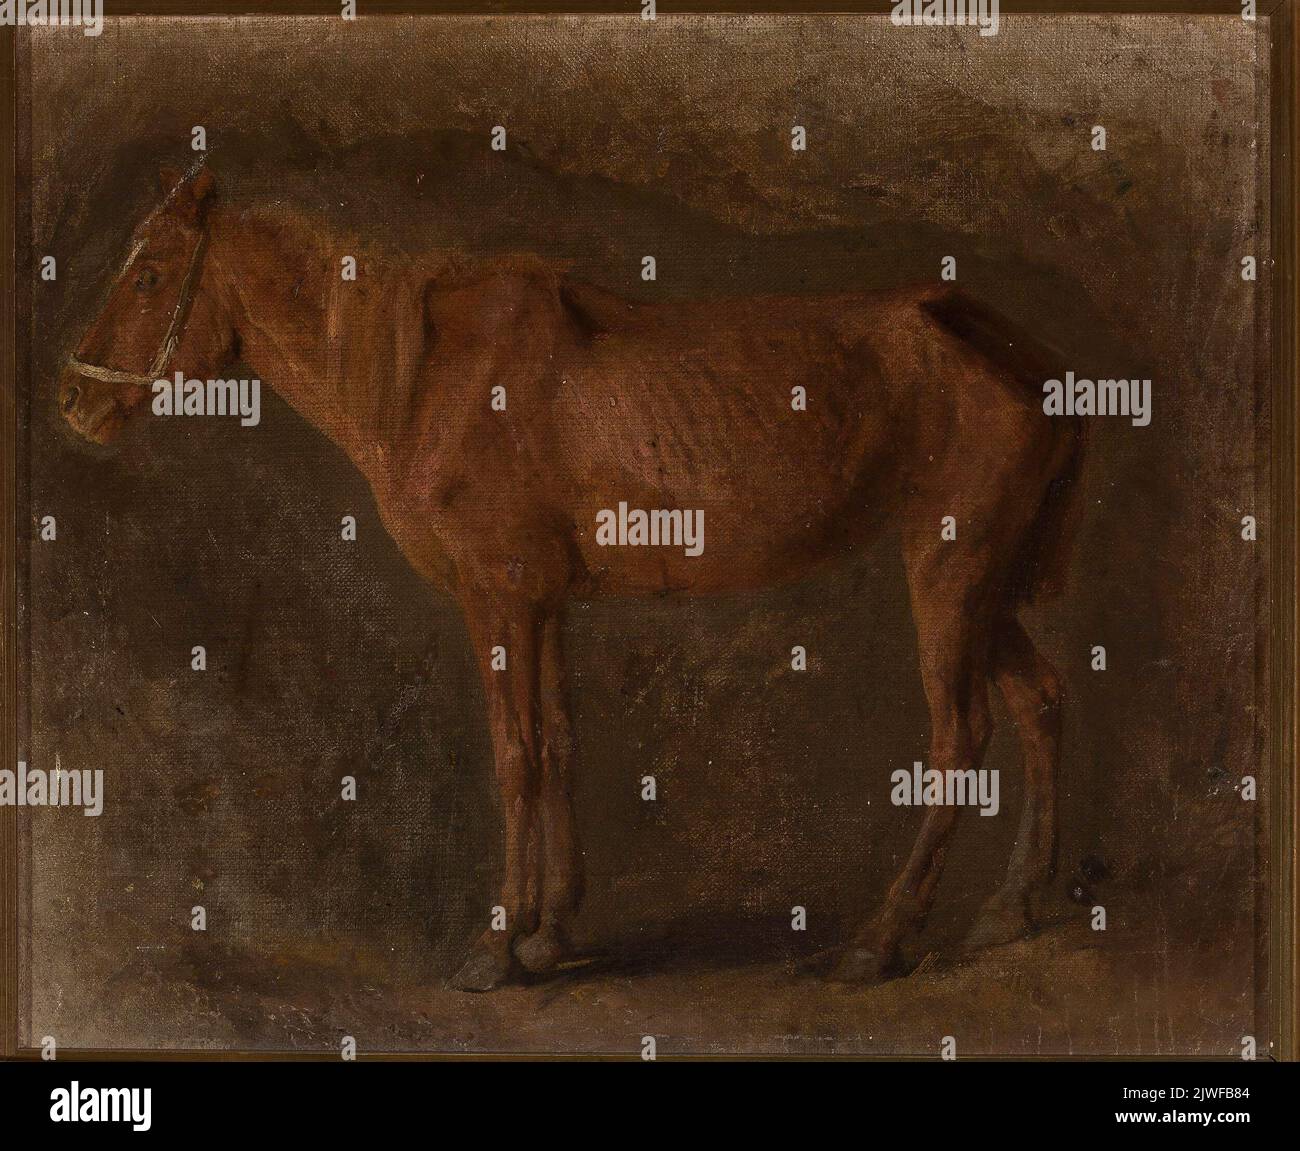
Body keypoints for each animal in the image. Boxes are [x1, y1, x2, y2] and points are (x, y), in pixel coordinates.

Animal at [59, 165, 1085, 991]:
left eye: (149, 273)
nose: (72, 398)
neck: (428, 376)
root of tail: (997, 343)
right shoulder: (543, 602)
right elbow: (556, 741)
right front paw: (552, 931)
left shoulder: (497, 595)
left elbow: (514, 755)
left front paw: (497, 944)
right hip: (983, 583)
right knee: (1040, 698)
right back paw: (1013, 905)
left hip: (948, 569)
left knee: (959, 737)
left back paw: (882, 938)